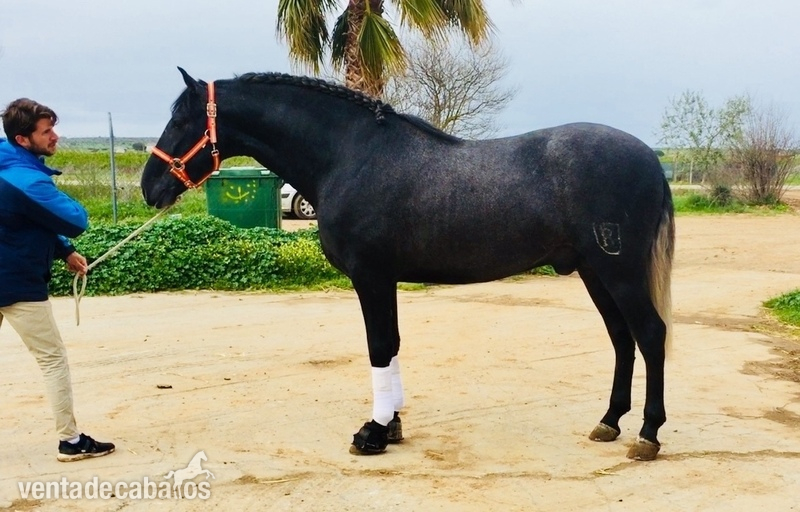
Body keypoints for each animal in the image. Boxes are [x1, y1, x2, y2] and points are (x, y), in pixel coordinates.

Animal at [141, 68, 674, 461]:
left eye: (181, 121)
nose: (149, 187)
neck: (350, 156)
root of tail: (650, 159)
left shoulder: (371, 276)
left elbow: (379, 346)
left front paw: (373, 433)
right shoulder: (384, 279)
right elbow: (392, 345)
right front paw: (392, 425)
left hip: (620, 272)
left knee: (649, 335)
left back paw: (647, 434)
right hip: (594, 273)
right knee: (622, 338)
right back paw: (609, 422)